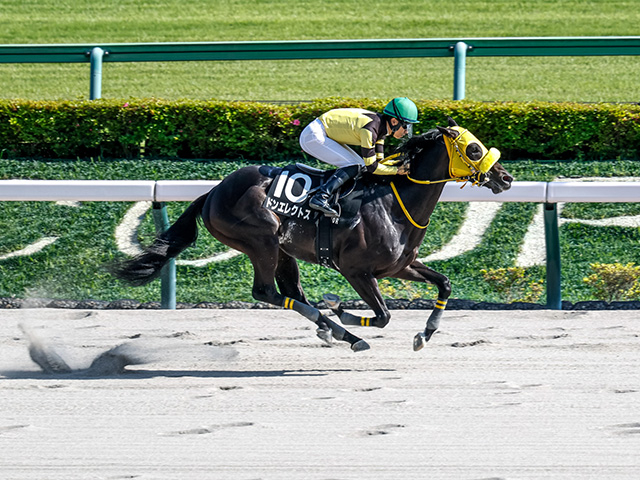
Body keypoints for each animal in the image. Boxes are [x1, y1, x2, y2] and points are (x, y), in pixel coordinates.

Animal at [111, 117, 513, 352]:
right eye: (473, 148)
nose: (506, 178)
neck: (393, 204)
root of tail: (212, 193)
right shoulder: (356, 270)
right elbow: (383, 315)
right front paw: (342, 309)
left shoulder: (399, 266)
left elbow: (444, 283)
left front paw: (424, 334)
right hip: (262, 240)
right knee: (266, 292)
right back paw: (342, 331)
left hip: (283, 251)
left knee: (291, 292)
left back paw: (331, 330)